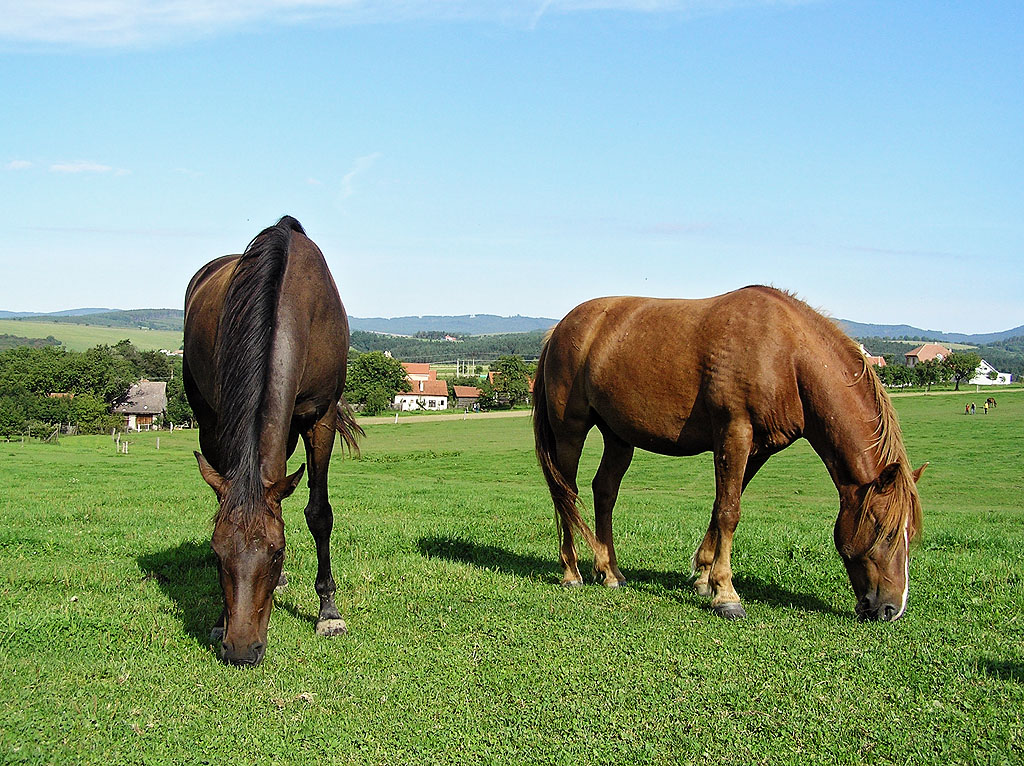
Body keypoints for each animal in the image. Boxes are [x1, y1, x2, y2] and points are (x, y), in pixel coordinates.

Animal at [182, 215, 362, 663]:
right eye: (216, 552)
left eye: (277, 551)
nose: (241, 649)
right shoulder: (223, 420)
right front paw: (218, 617)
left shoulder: (321, 417)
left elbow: (319, 513)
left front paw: (329, 613)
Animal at [536, 286, 929, 622]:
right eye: (886, 532)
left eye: (910, 533)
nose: (891, 609)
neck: (786, 354)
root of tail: (559, 329)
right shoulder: (734, 434)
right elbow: (729, 512)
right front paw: (726, 594)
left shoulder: (757, 449)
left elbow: (721, 506)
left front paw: (704, 577)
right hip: (570, 431)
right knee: (565, 495)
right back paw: (571, 571)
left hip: (619, 436)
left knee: (604, 493)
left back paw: (610, 571)